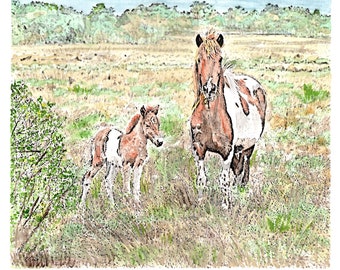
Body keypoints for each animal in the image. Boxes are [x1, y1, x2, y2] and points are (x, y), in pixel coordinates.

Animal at [191, 31, 266, 209]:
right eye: (199, 59)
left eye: (220, 59)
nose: (209, 89)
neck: (211, 117)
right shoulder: (198, 149)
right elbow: (201, 179)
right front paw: (201, 203)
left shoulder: (227, 151)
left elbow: (224, 180)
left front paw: (225, 206)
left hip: (247, 148)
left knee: (241, 174)